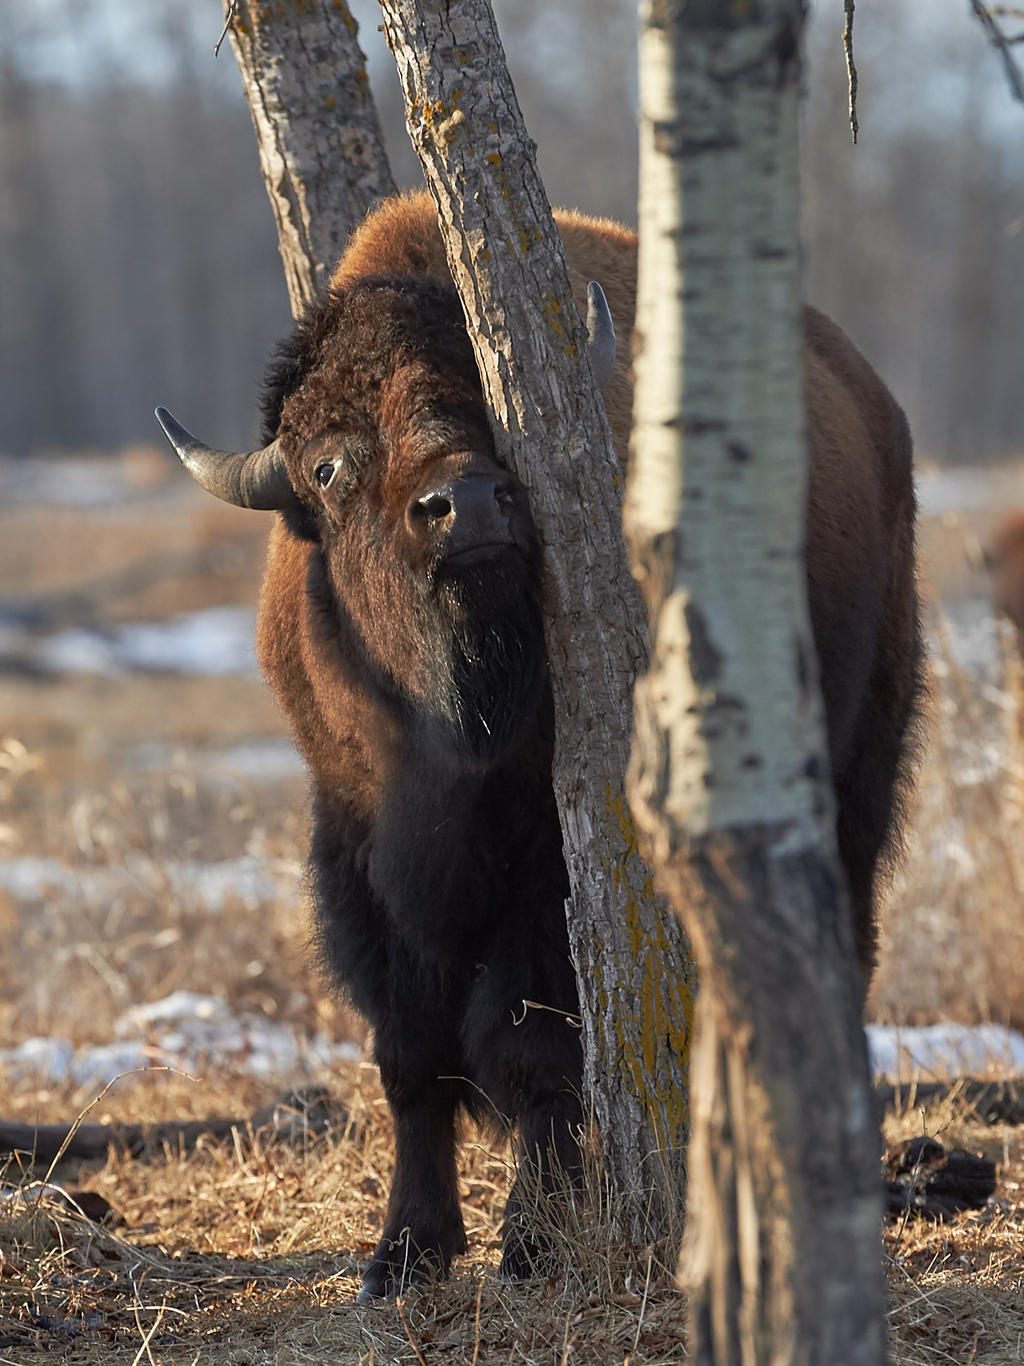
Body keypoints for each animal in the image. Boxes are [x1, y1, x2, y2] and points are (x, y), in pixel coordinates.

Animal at [156, 189, 928, 1300]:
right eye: (328, 464)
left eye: (490, 406)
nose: (468, 504)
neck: (447, 739)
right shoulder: (357, 850)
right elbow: (409, 1053)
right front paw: (404, 1253)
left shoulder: (552, 865)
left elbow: (528, 1048)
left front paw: (532, 1242)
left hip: (857, 760)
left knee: (844, 937)